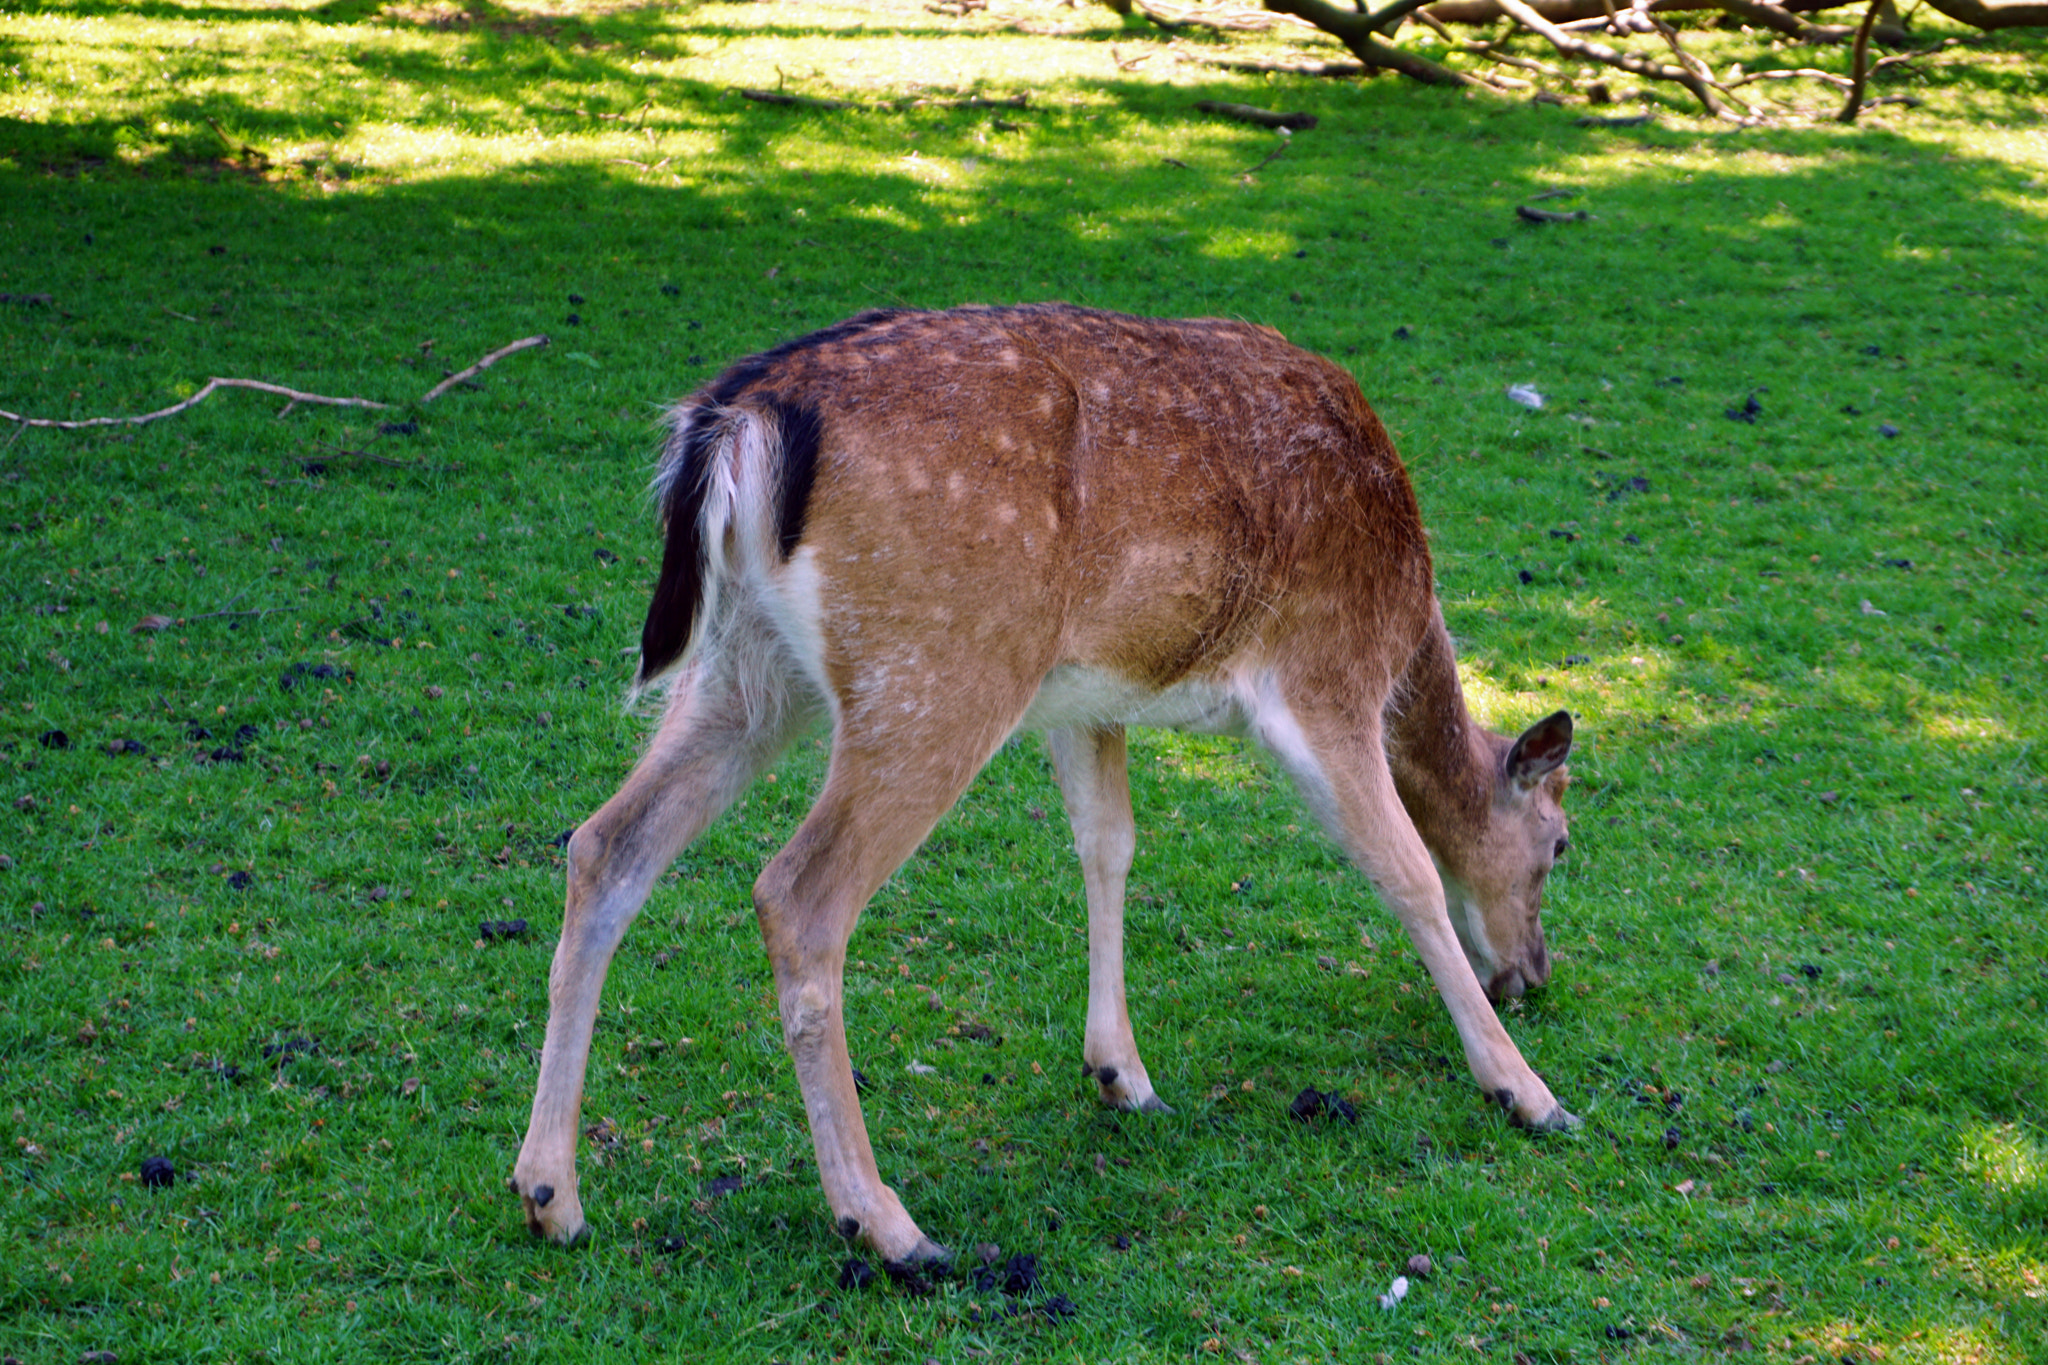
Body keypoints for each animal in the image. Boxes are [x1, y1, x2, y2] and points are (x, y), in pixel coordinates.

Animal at [510, 303, 1578, 1272]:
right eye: (1560, 844)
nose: (1533, 972)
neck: (1407, 626)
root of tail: (740, 422)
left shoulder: (1085, 698)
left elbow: (1108, 842)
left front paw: (1121, 1072)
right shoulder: (1326, 676)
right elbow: (1406, 873)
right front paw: (1524, 1091)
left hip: (747, 666)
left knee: (605, 844)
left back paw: (551, 1193)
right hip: (939, 669)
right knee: (796, 895)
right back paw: (887, 1224)